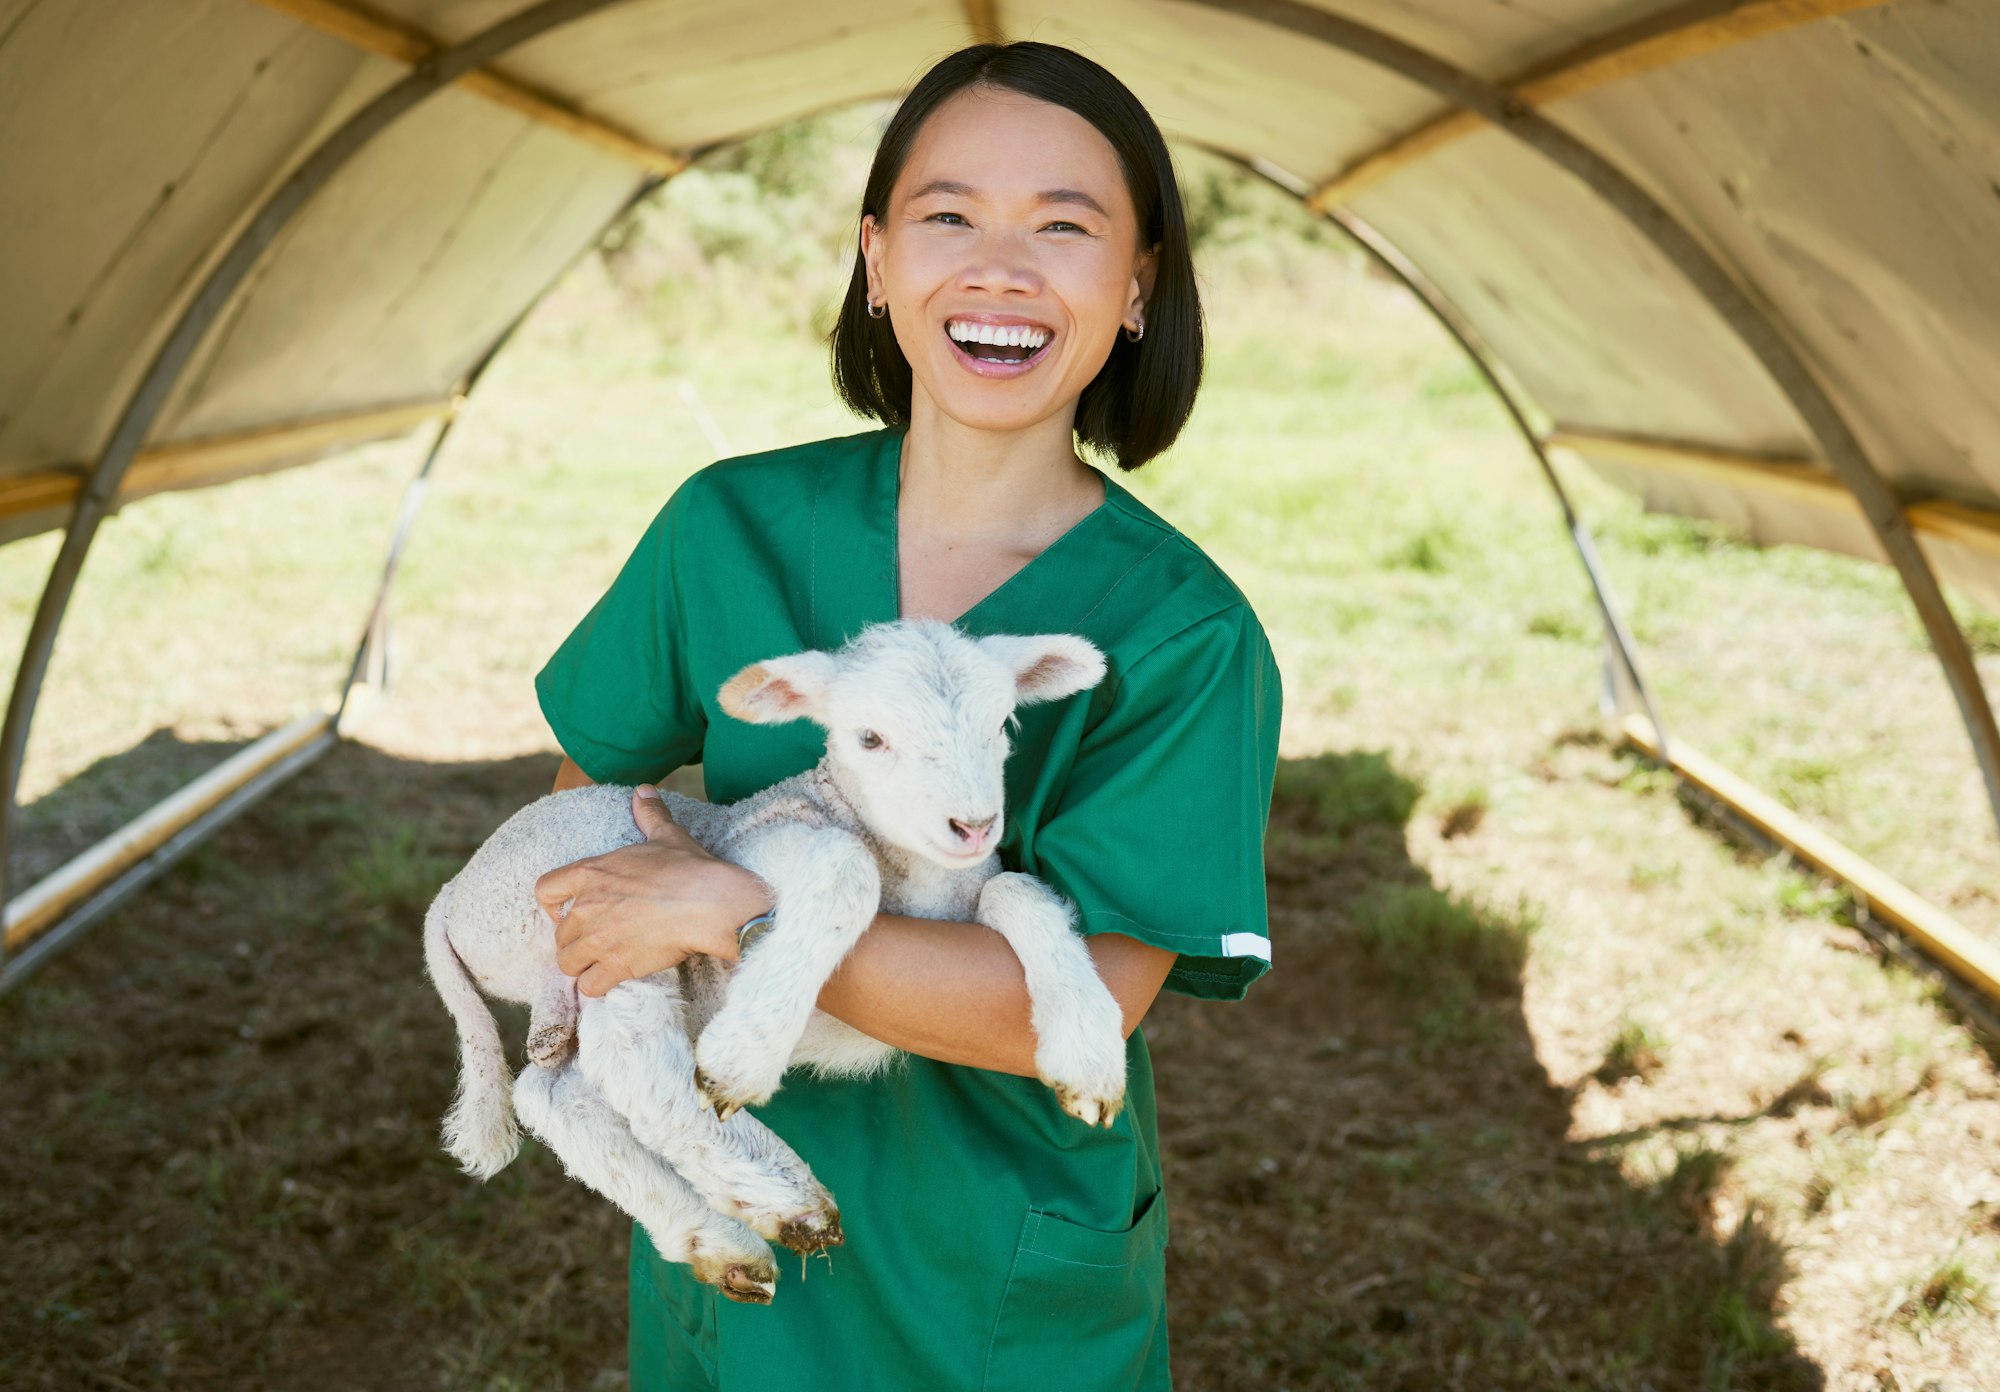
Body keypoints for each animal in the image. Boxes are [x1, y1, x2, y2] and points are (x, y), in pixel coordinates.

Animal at [424, 620, 1136, 1304]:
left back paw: (719, 1241)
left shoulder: (971, 903)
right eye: (869, 738)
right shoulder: (750, 847)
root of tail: (455, 894)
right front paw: (746, 1053)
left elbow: (1018, 890)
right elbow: (844, 866)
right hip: (599, 900)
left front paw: (1088, 1052)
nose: (975, 826)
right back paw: (785, 1195)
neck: (921, 884)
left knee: (555, 1092)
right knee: (630, 1060)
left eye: (1004, 725)